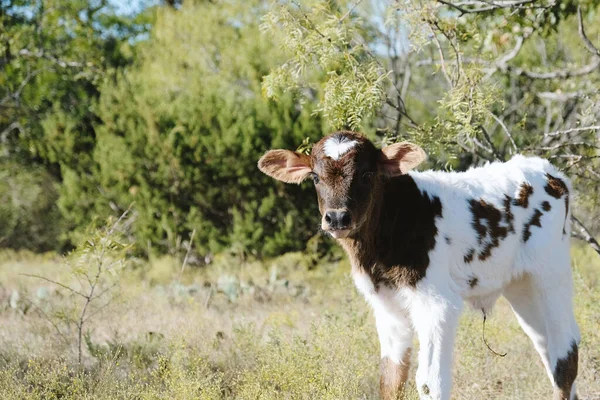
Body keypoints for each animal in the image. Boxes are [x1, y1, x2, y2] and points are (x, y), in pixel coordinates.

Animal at [258, 131, 580, 400]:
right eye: (315, 176)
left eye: (367, 173)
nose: (337, 218)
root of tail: (547, 171)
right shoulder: (386, 305)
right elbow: (391, 379)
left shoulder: (437, 303)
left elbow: (430, 382)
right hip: (521, 285)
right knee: (546, 346)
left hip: (551, 272)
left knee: (565, 354)